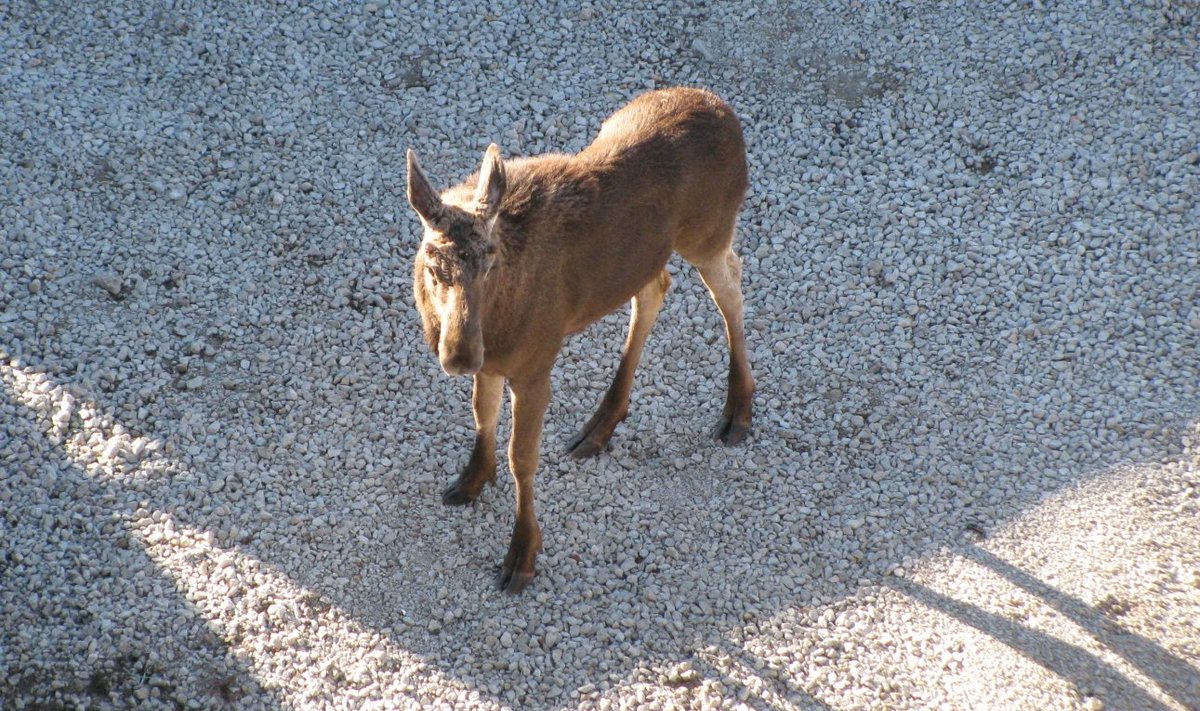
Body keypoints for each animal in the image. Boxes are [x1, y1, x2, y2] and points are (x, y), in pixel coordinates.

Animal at [408, 85, 753, 590]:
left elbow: (521, 458)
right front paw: (470, 480)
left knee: (731, 285)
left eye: (490, 262)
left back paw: (737, 411)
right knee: (656, 286)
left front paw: (521, 555)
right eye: (432, 267)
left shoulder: (534, 366)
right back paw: (601, 425)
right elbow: (482, 415)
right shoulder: (495, 363)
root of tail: (723, 109)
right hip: (652, 253)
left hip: (708, 232)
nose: (457, 354)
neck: (497, 323)